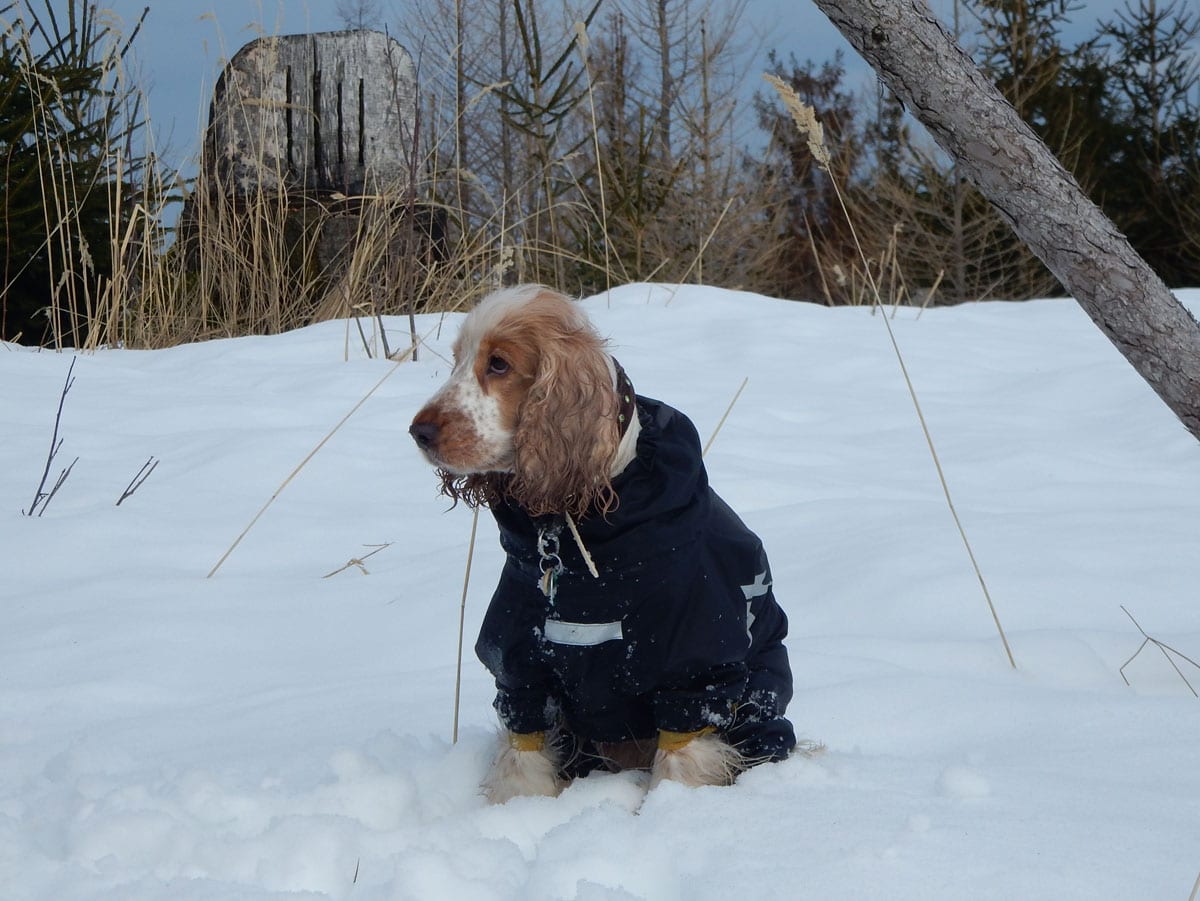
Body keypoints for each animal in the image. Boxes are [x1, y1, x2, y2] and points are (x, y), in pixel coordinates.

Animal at [410, 285, 796, 802]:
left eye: (499, 364)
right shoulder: (520, 673)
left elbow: (681, 764)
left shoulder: (694, 675)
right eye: (457, 360)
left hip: (756, 708)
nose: (419, 431)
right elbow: (522, 766)